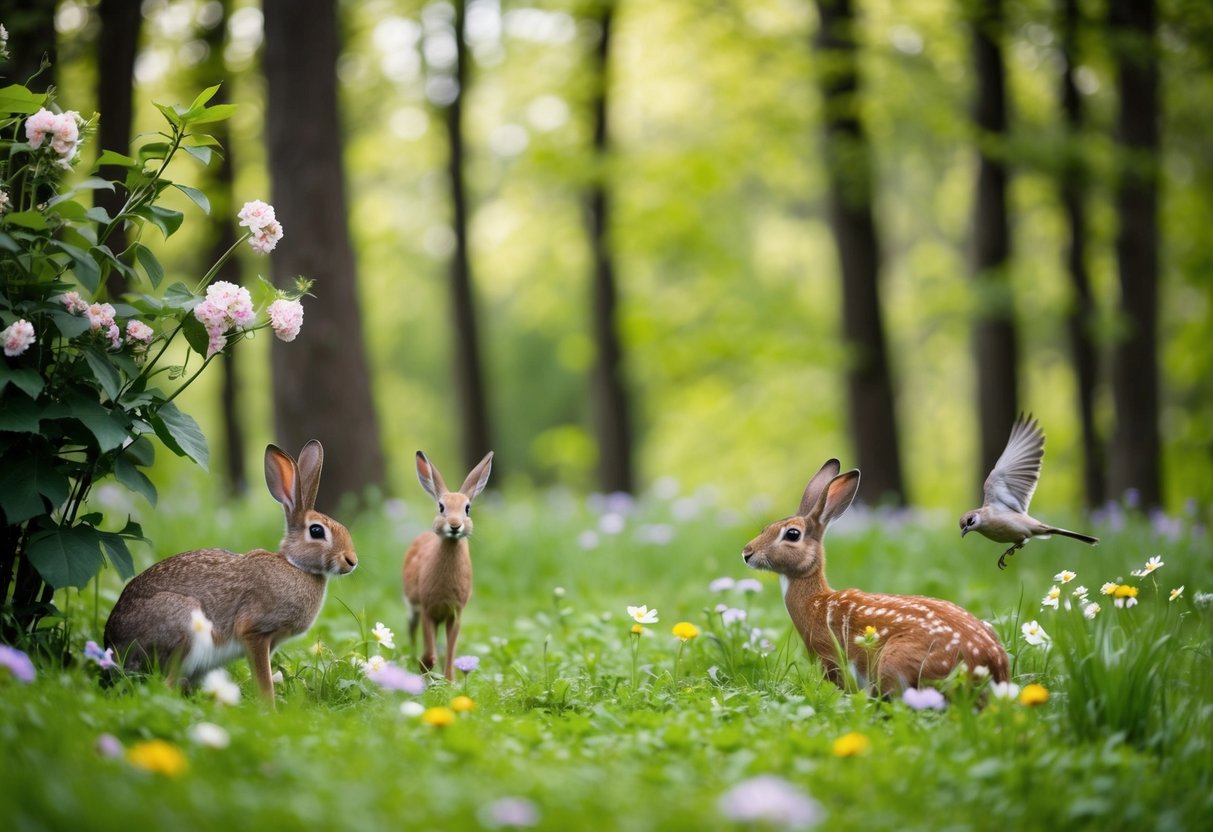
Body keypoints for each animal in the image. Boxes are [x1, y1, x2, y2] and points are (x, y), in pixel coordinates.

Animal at [104, 443, 354, 703]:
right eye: (316, 531)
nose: (352, 561)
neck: (295, 566)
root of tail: (112, 645)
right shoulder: (255, 632)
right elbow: (263, 678)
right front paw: (269, 706)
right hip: (184, 628)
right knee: (167, 684)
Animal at [400, 453, 490, 679]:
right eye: (441, 507)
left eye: (467, 508)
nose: (455, 525)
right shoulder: (427, 610)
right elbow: (430, 654)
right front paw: (424, 671)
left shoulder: (454, 614)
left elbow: (450, 653)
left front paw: (449, 680)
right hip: (413, 608)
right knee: (412, 631)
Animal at [742, 458, 1009, 693]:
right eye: (766, 528)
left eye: (792, 534)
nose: (747, 552)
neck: (817, 602)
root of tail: (991, 666)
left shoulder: (830, 654)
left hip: (897, 662)